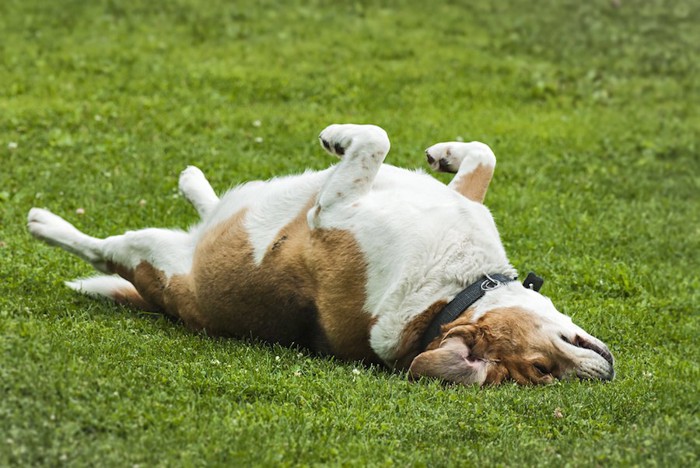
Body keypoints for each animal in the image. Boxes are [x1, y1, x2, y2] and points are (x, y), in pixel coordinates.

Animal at [28, 122, 612, 386]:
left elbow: (374, 141)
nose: (601, 376)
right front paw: (443, 153)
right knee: (218, 209)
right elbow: (480, 156)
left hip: (149, 253)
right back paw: (196, 182)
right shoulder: (459, 200)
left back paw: (45, 224)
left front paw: (338, 137)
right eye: (543, 366)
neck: (450, 293)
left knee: (100, 251)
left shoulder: (329, 212)